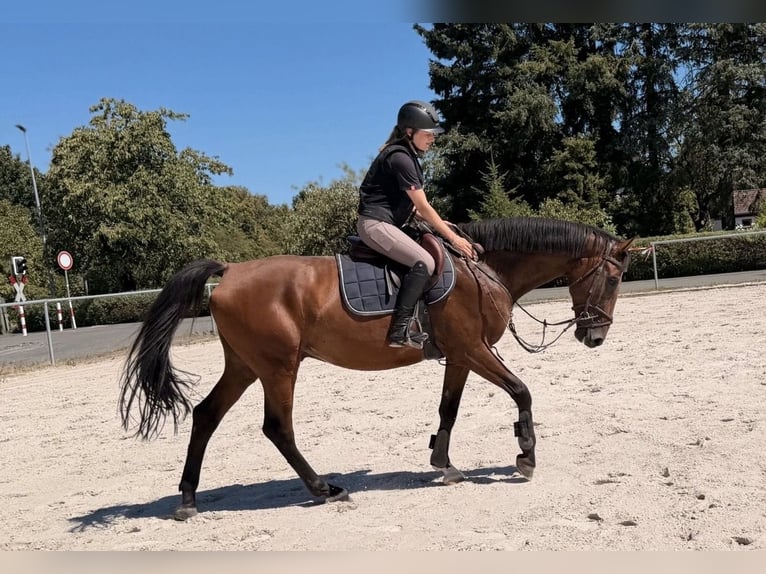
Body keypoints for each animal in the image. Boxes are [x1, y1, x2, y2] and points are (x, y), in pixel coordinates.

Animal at [118, 216, 633, 520]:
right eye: (612, 279)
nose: (596, 337)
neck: (483, 269)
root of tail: (231, 271)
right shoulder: (474, 350)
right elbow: (522, 391)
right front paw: (525, 456)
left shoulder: (461, 356)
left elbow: (448, 409)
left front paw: (444, 464)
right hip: (278, 368)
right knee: (277, 428)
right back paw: (324, 489)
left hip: (245, 365)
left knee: (206, 415)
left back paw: (188, 500)